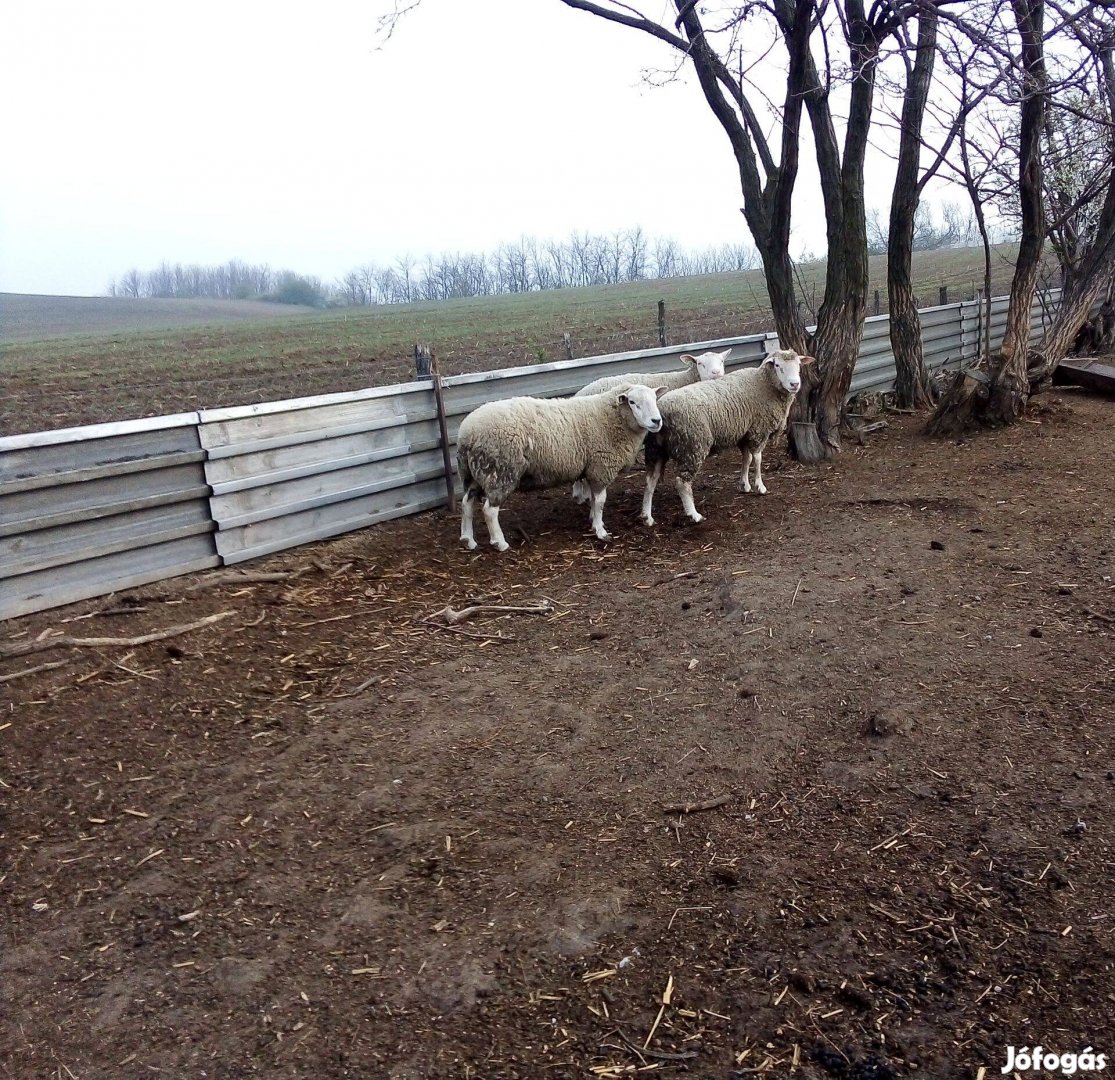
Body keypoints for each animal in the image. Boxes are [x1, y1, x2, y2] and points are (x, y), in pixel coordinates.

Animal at [457, 381, 664, 552]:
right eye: (632, 402)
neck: (611, 418)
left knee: (466, 503)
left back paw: (468, 540)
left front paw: (592, 520)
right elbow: (600, 501)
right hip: (500, 471)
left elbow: (593, 499)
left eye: (655, 399)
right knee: (489, 510)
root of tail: (467, 434)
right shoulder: (601, 468)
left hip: (474, 473)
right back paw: (499, 543)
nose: (657, 421)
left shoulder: (592, 468)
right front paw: (600, 531)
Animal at [642, 349, 816, 526]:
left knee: (650, 480)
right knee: (682, 482)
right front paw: (760, 486)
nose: (795, 384)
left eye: (799, 365)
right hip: (692, 445)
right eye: (778, 365)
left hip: (655, 448)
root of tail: (663, 410)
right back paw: (694, 514)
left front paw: (744, 485)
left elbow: (747, 459)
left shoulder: (745, 433)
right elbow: (758, 458)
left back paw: (647, 516)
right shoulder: (759, 430)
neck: (764, 384)